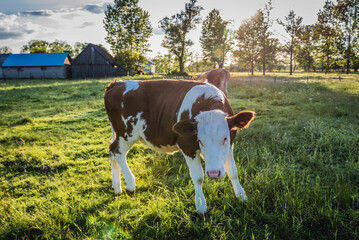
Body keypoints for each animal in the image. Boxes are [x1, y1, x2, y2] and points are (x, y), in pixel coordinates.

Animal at [104, 79, 256, 215]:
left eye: (225, 138)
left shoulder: (230, 145)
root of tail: (116, 83)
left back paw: (117, 187)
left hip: (117, 133)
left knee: (112, 152)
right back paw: (130, 184)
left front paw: (241, 196)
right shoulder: (187, 145)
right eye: (200, 140)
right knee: (118, 152)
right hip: (126, 133)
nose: (214, 173)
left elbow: (233, 171)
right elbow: (198, 177)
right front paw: (201, 206)